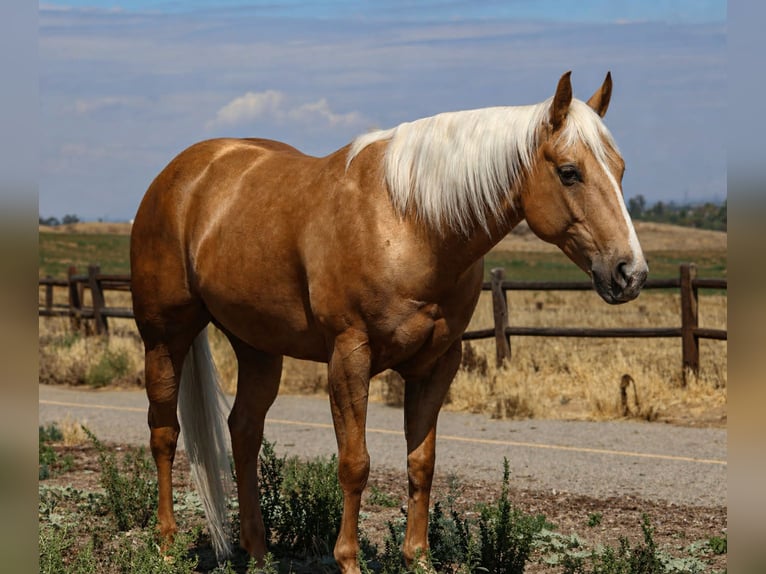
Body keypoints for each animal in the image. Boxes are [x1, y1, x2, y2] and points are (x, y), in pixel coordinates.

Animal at [130, 71, 647, 573]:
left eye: (621, 169)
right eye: (569, 172)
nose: (631, 273)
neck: (410, 223)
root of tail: (180, 176)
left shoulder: (437, 364)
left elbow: (422, 462)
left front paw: (418, 559)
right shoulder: (349, 357)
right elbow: (355, 463)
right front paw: (349, 560)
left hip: (258, 346)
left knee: (244, 431)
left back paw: (258, 554)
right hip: (164, 337)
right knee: (165, 433)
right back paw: (166, 545)